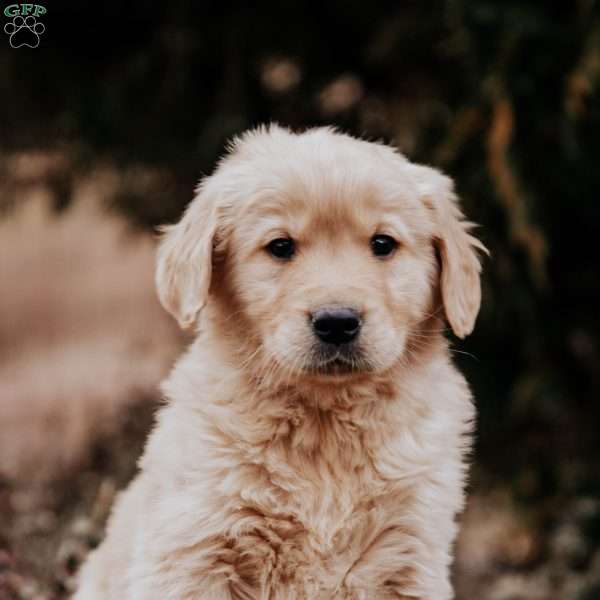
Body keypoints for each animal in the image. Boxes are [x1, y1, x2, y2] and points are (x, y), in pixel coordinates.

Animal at [75, 124, 488, 596]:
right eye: (280, 246)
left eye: (383, 244)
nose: (336, 322)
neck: (325, 424)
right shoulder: (192, 551)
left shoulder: (410, 556)